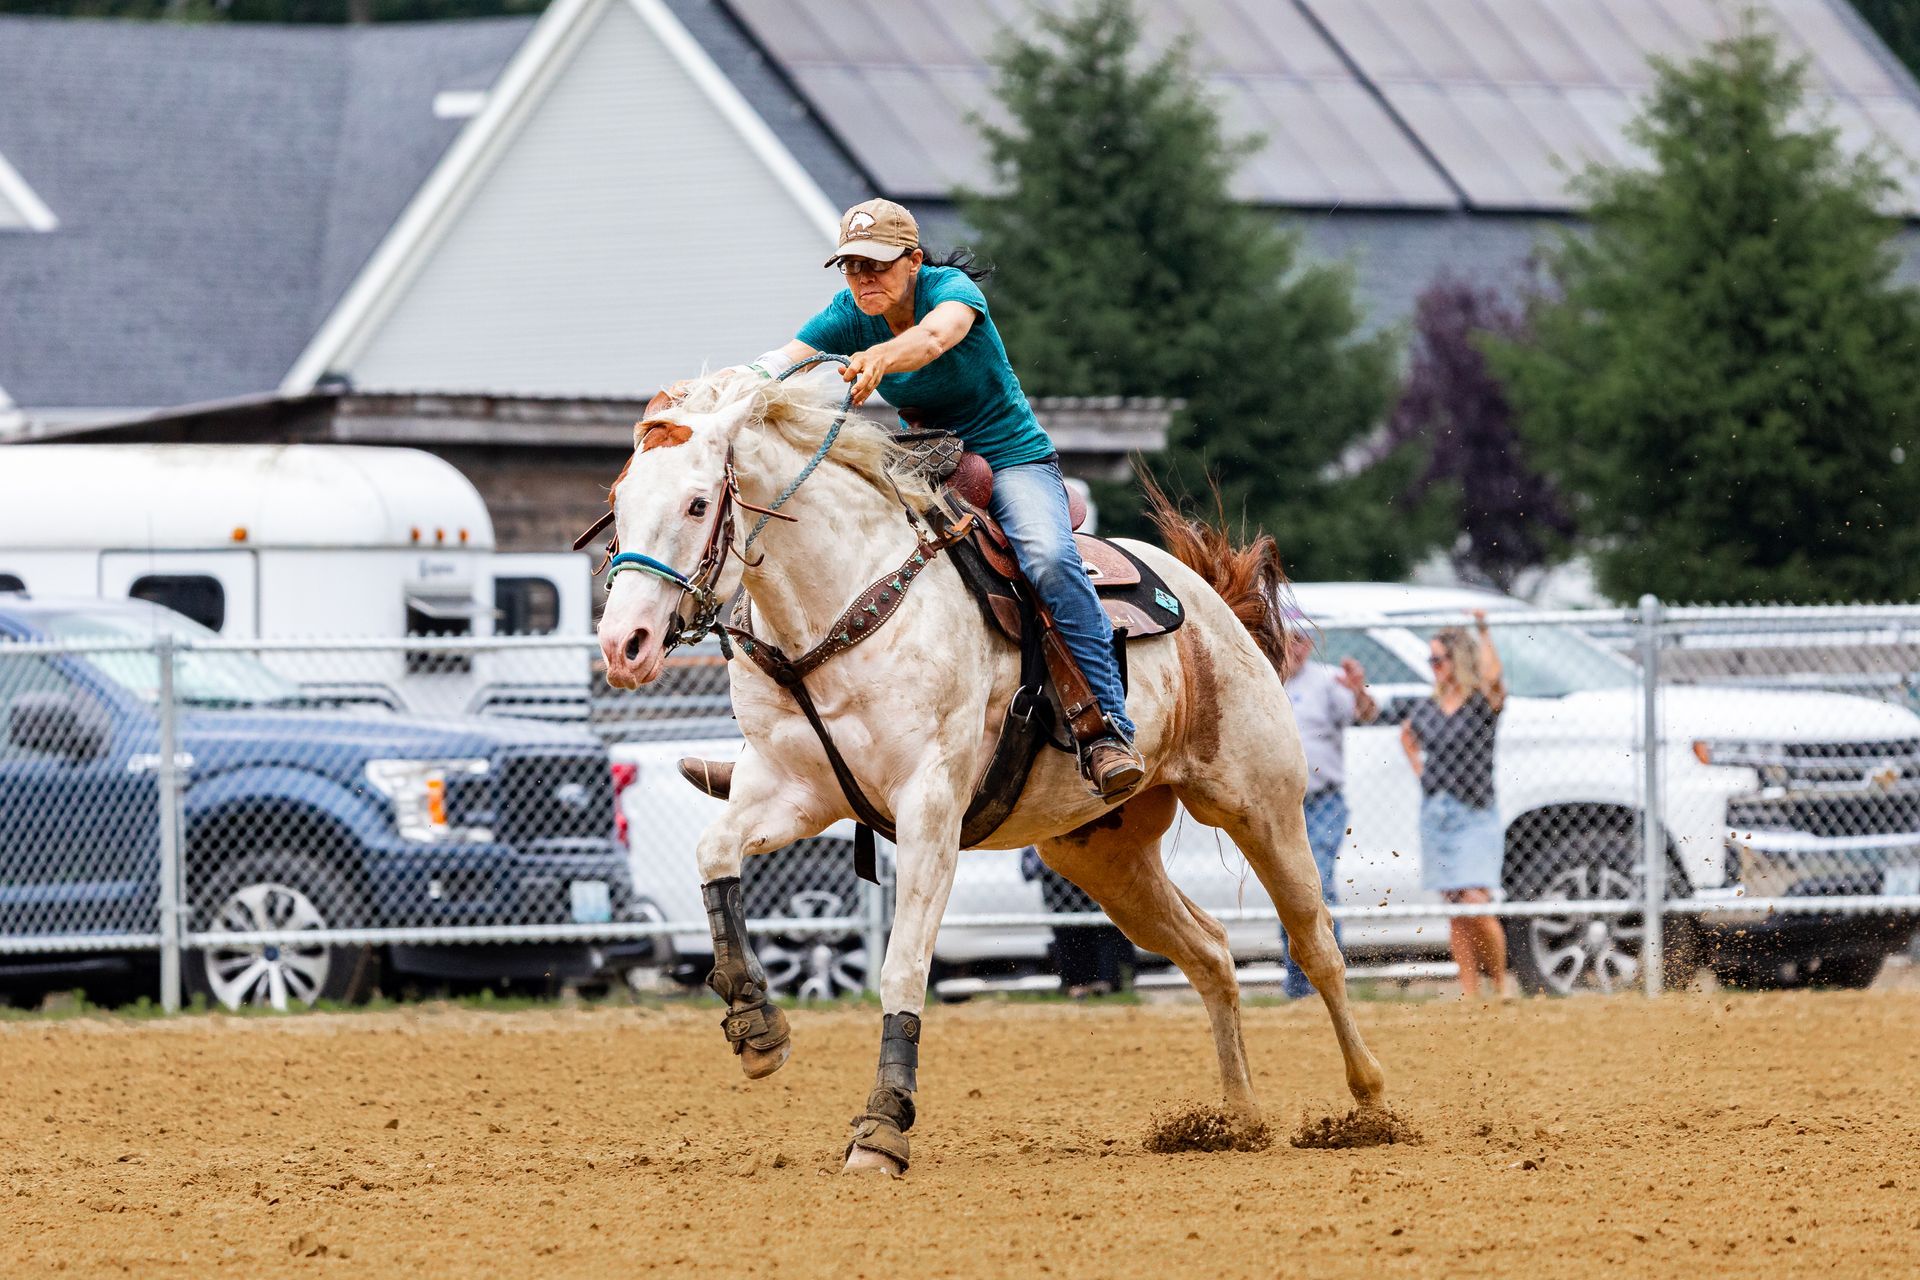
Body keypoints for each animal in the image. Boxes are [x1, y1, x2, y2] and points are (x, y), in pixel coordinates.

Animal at [595, 364, 1387, 1175]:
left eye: (697, 502)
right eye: (619, 502)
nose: (624, 644)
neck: (838, 608)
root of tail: (1206, 602)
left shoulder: (929, 810)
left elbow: (903, 965)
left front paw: (882, 1127)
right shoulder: (792, 794)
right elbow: (713, 855)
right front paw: (757, 1025)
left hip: (1261, 805)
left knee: (1316, 946)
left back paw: (1368, 1105)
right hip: (1104, 857)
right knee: (1211, 954)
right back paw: (1235, 1120)